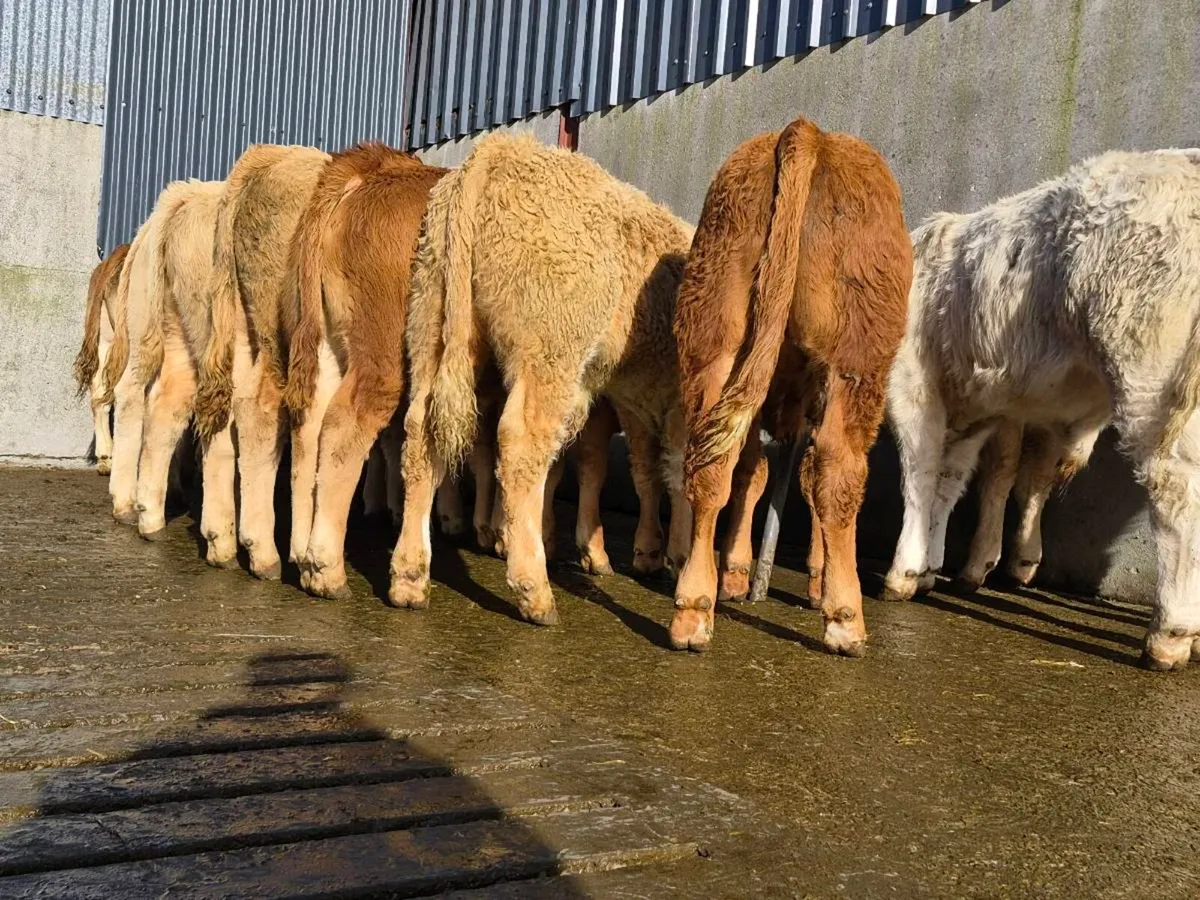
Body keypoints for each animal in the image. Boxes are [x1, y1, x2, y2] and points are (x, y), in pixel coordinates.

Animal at [389, 133, 694, 624]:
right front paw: (680, 558)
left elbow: (651, 469)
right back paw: (533, 588)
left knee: (422, 433)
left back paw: (410, 577)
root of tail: (503, 149)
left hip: (432, 325)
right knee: (521, 446)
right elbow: (683, 474)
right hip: (549, 352)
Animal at [671, 118, 913, 656]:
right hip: (856, 357)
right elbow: (802, 477)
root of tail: (808, 132)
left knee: (713, 463)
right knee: (838, 470)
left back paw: (694, 608)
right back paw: (845, 619)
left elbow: (754, 473)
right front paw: (819, 579)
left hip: (714, 333)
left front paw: (737, 574)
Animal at [882, 148, 1200, 671]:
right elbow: (952, 479)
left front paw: (905, 570)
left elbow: (921, 471)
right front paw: (931, 563)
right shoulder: (981, 408)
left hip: (1153, 383)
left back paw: (1170, 634)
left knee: (1175, 488)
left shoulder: (913, 380)